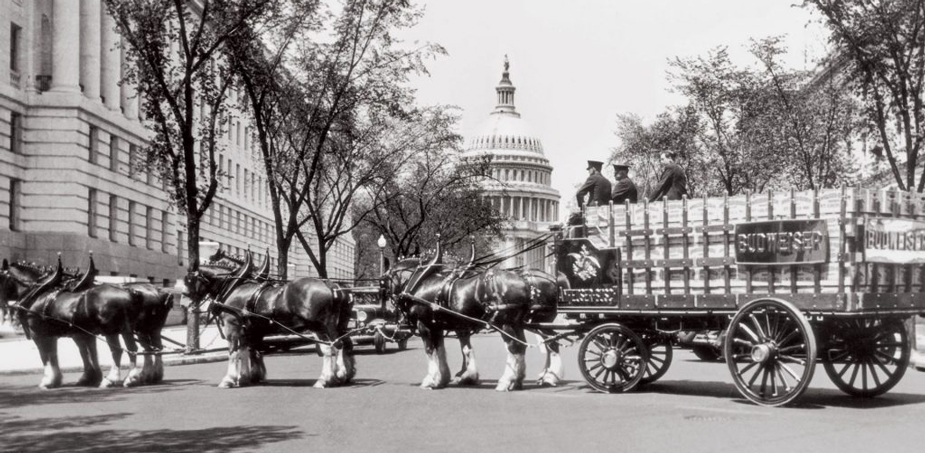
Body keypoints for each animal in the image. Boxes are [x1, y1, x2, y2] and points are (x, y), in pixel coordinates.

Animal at [184, 252, 354, 386]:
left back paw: (326, 378)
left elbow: (233, 352)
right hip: (336, 325)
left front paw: (229, 379)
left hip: (318, 326)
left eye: (188, 280)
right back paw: (342, 374)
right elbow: (245, 350)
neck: (234, 287)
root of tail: (330, 286)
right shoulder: (247, 329)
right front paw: (244, 377)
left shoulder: (232, 325)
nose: (184, 303)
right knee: (342, 344)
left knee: (331, 347)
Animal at [384, 242, 564, 390]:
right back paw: (524, 379)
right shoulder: (441, 325)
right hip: (520, 323)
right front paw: (448, 377)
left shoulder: (425, 324)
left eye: (385, 280)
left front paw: (432, 379)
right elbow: (447, 349)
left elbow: (431, 350)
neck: (420, 282)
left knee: (520, 347)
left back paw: (512, 380)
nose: (391, 306)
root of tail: (526, 283)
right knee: (536, 345)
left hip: (507, 323)